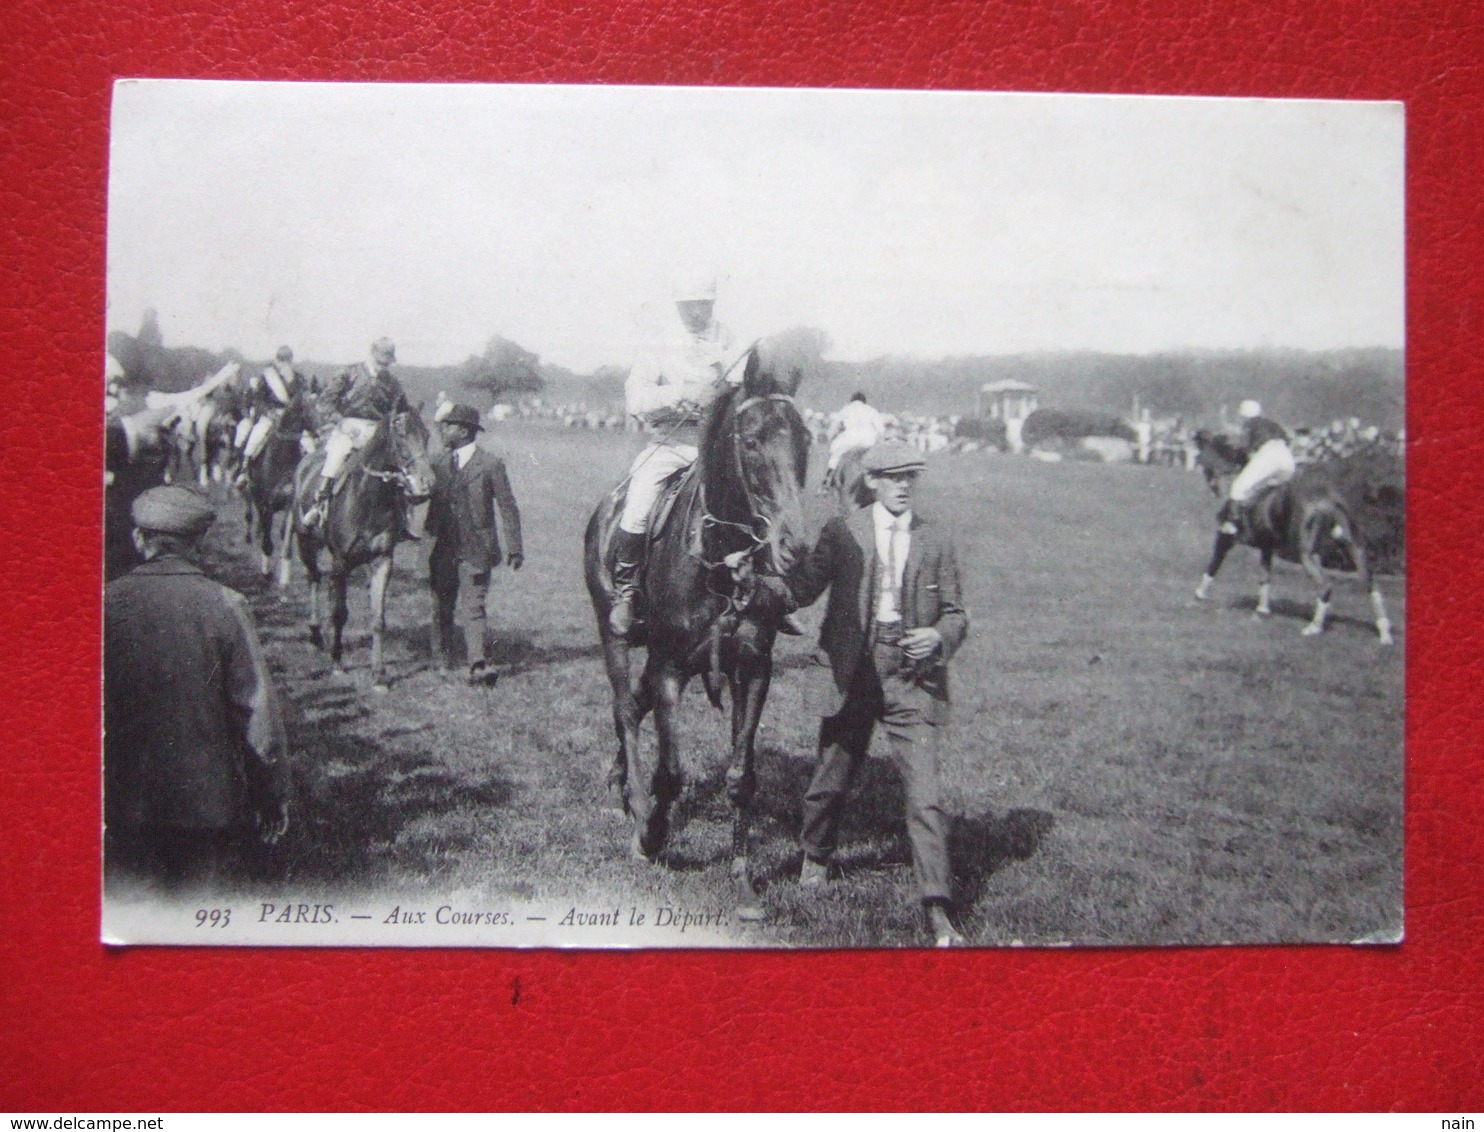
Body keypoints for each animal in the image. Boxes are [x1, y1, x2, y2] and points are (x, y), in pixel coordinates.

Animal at [292, 406, 433, 691]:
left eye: (426, 435)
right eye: (401, 435)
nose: (426, 484)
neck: (368, 499)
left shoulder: (382, 561)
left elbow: (377, 619)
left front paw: (379, 674)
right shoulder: (340, 562)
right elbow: (339, 613)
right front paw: (337, 661)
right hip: (305, 542)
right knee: (313, 578)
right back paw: (315, 632)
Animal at [581, 338, 813, 919]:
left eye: (805, 439)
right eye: (750, 441)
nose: (794, 549)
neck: (719, 560)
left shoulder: (752, 669)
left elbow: (741, 777)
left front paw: (742, 877)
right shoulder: (668, 667)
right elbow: (670, 770)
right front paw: (651, 836)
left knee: (631, 707)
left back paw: (620, 782)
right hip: (614, 634)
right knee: (625, 708)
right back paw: (634, 800)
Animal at [1193, 430, 1389, 646]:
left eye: (1202, 457)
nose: (1211, 484)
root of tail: (1328, 500)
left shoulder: (1225, 539)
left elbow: (1213, 565)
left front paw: (1199, 595)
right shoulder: (1267, 547)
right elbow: (1265, 577)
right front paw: (1262, 610)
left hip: (1305, 554)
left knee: (1325, 586)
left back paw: (1314, 627)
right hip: (1354, 547)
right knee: (1371, 585)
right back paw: (1384, 633)